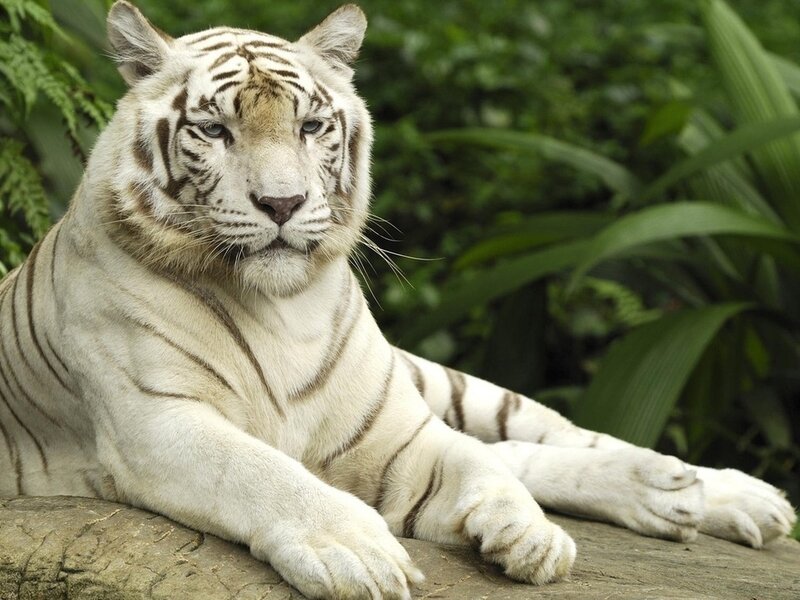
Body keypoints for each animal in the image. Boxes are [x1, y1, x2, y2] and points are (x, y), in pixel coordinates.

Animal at [0, 1, 795, 598]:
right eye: (215, 130)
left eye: (310, 126)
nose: (283, 203)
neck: (281, 309)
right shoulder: (158, 424)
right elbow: (262, 472)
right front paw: (360, 552)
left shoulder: (395, 433)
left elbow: (474, 463)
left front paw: (531, 536)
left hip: (435, 380)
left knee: (532, 436)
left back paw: (705, 489)